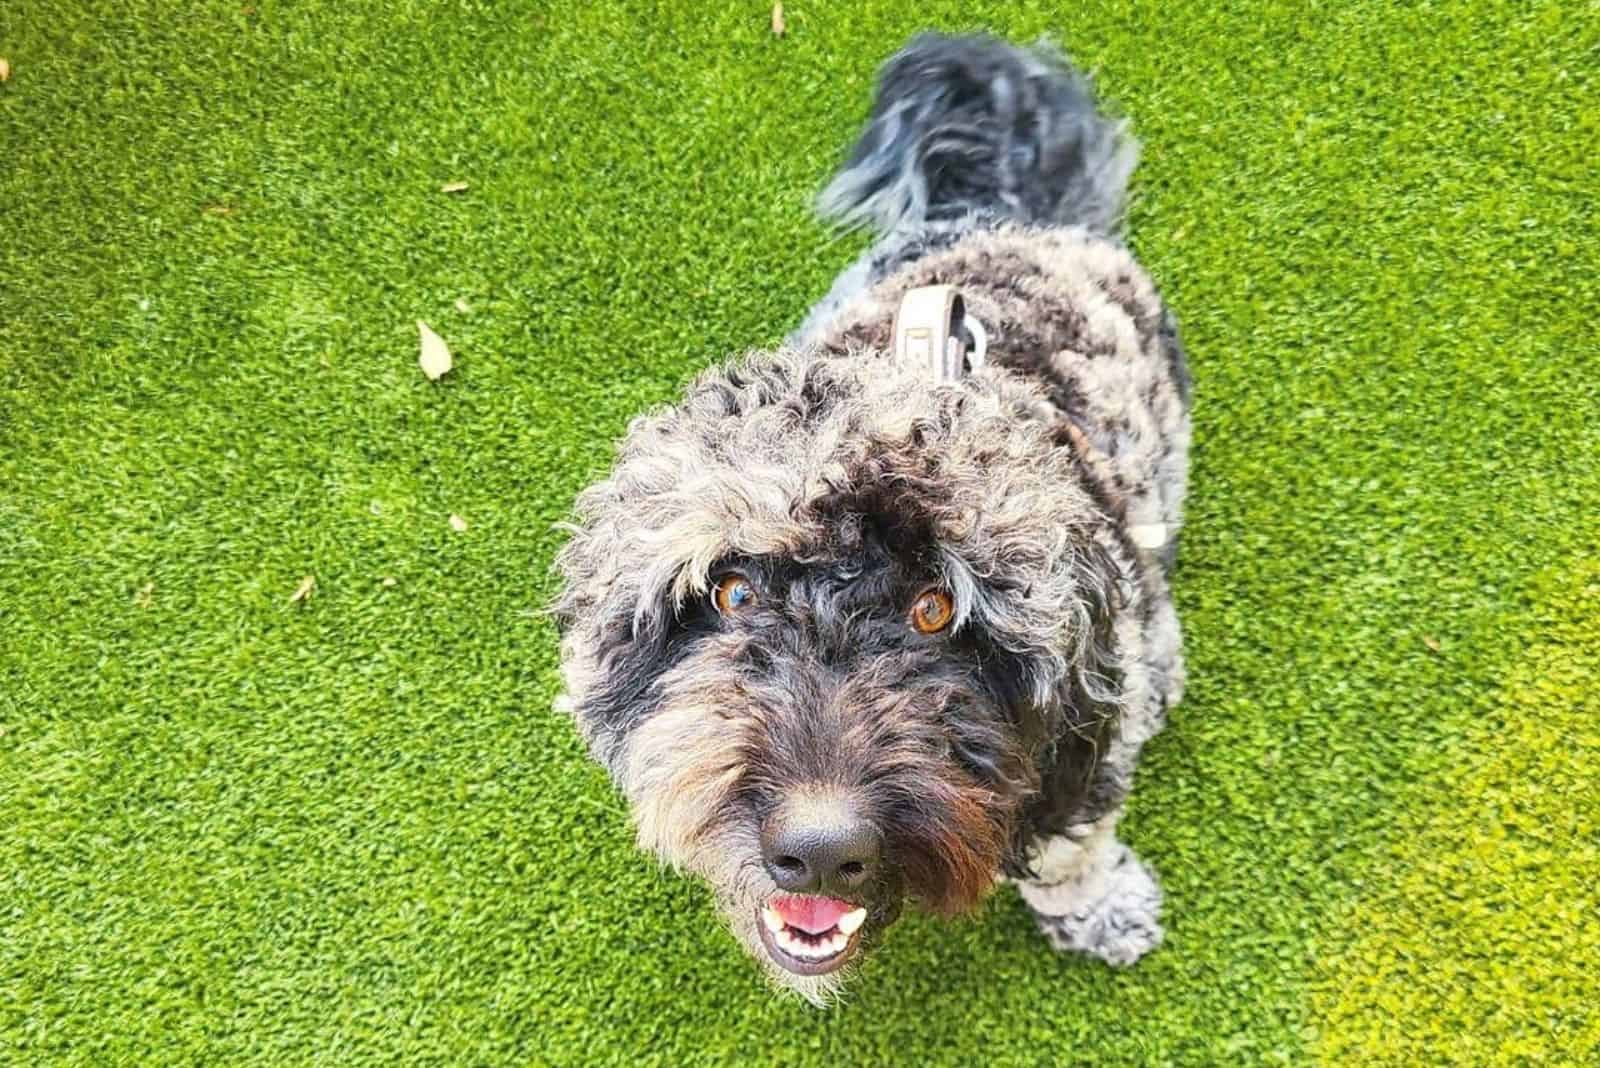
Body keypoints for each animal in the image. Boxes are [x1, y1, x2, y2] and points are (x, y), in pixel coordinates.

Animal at [550, 33, 1190, 1004]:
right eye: (731, 592)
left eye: (938, 610)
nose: (819, 851)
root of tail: (1011, 217)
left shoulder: (1096, 742)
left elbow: (1071, 848)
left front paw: (1099, 908)